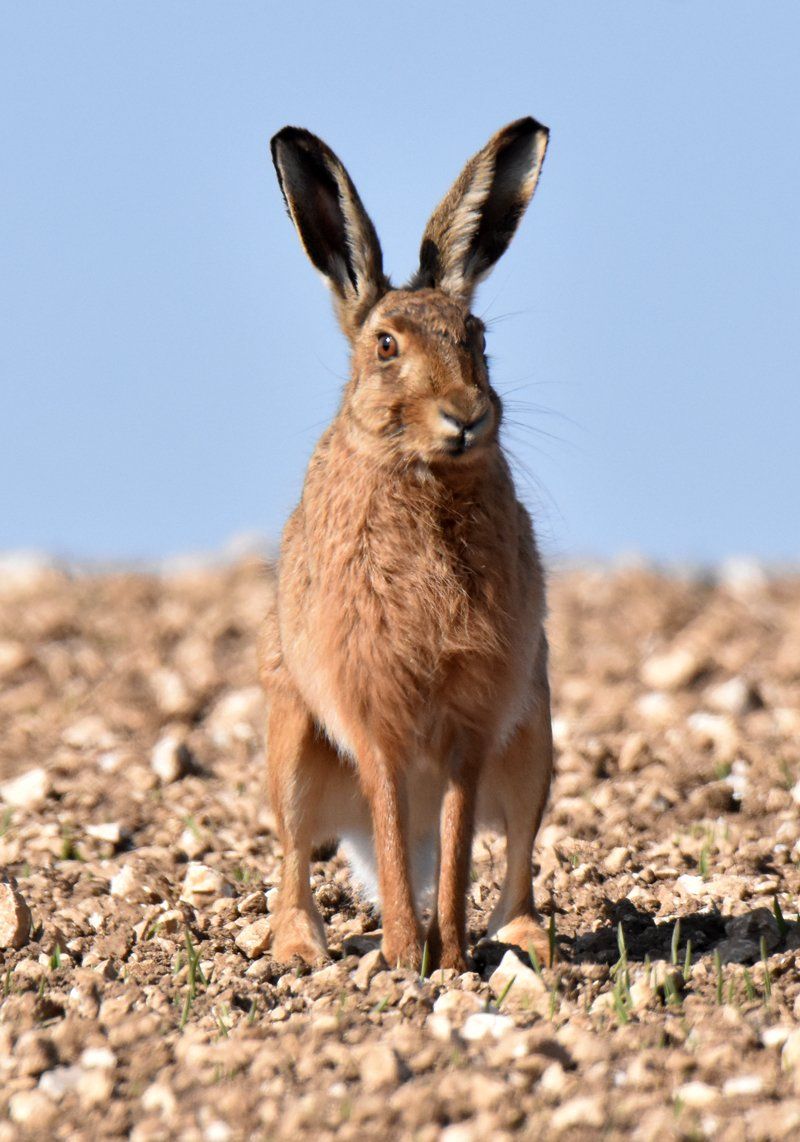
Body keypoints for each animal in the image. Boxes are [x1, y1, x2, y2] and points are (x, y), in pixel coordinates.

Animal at [259, 117, 553, 972]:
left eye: (476, 338)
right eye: (386, 346)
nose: (466, 415)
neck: (424, 479)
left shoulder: (473, 723)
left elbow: (457, 850)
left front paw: (446, 961)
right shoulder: (371, 711)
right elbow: (390, 829)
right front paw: (401, 958)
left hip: (537, 739)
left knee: (516, 853)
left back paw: (523, 941)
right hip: (291, 743)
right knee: (296, 852)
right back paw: (299, 948)